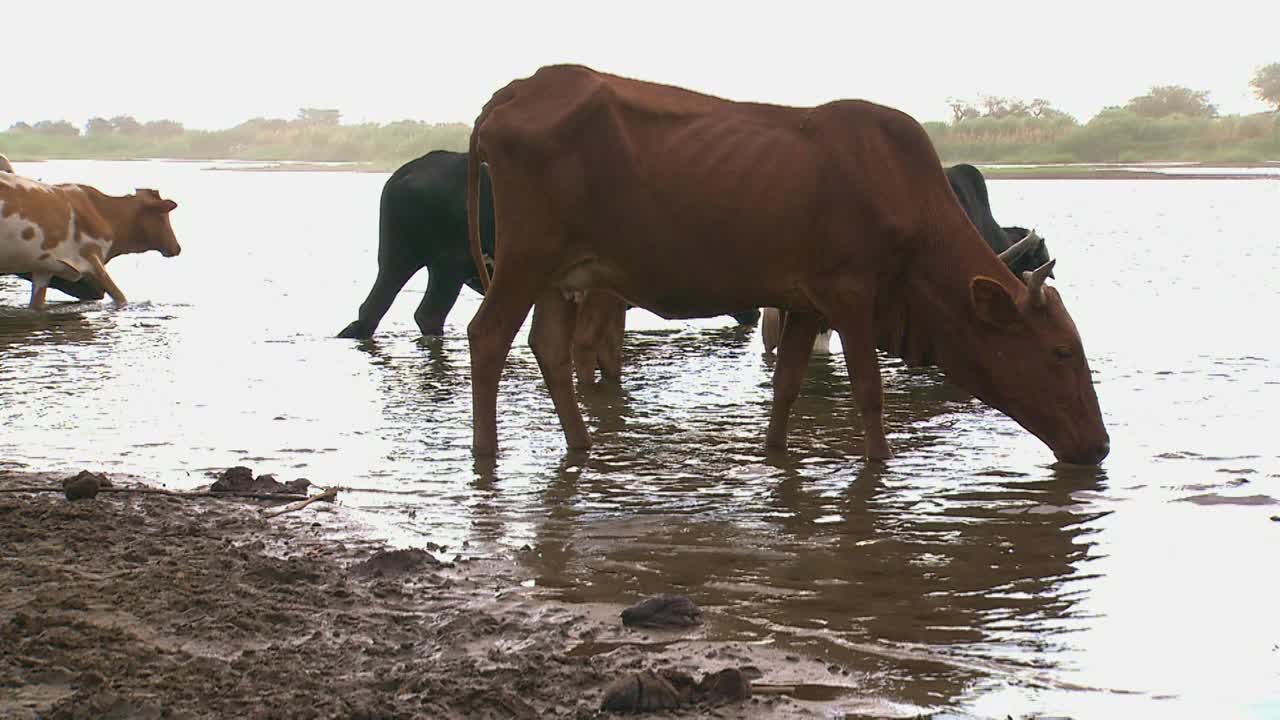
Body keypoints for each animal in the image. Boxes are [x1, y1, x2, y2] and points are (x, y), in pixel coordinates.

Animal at [0, 175, 181, 308]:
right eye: (162, 216)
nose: (177, 247)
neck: (105, 215)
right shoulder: (93, 261)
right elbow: (121, 297)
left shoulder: (43, 270)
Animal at [337, 149, 757, 338]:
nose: (753, 312)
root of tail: (402, 176)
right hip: (435, 264)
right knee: (414, 312)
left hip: (409, 260)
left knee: (385, 311)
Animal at [465, 64, 1105, 461]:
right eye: (1061, 352)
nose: (1099, 447)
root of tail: (516, 90)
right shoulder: (851, 294)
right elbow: (868, 389)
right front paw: (879, 463)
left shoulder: (805, 302)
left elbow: (788, 386)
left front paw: (775, 454)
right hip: (527, 256)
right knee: (487, 335)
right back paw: (486, 450)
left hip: (562, 273)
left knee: (548, 346)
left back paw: (580, 445)